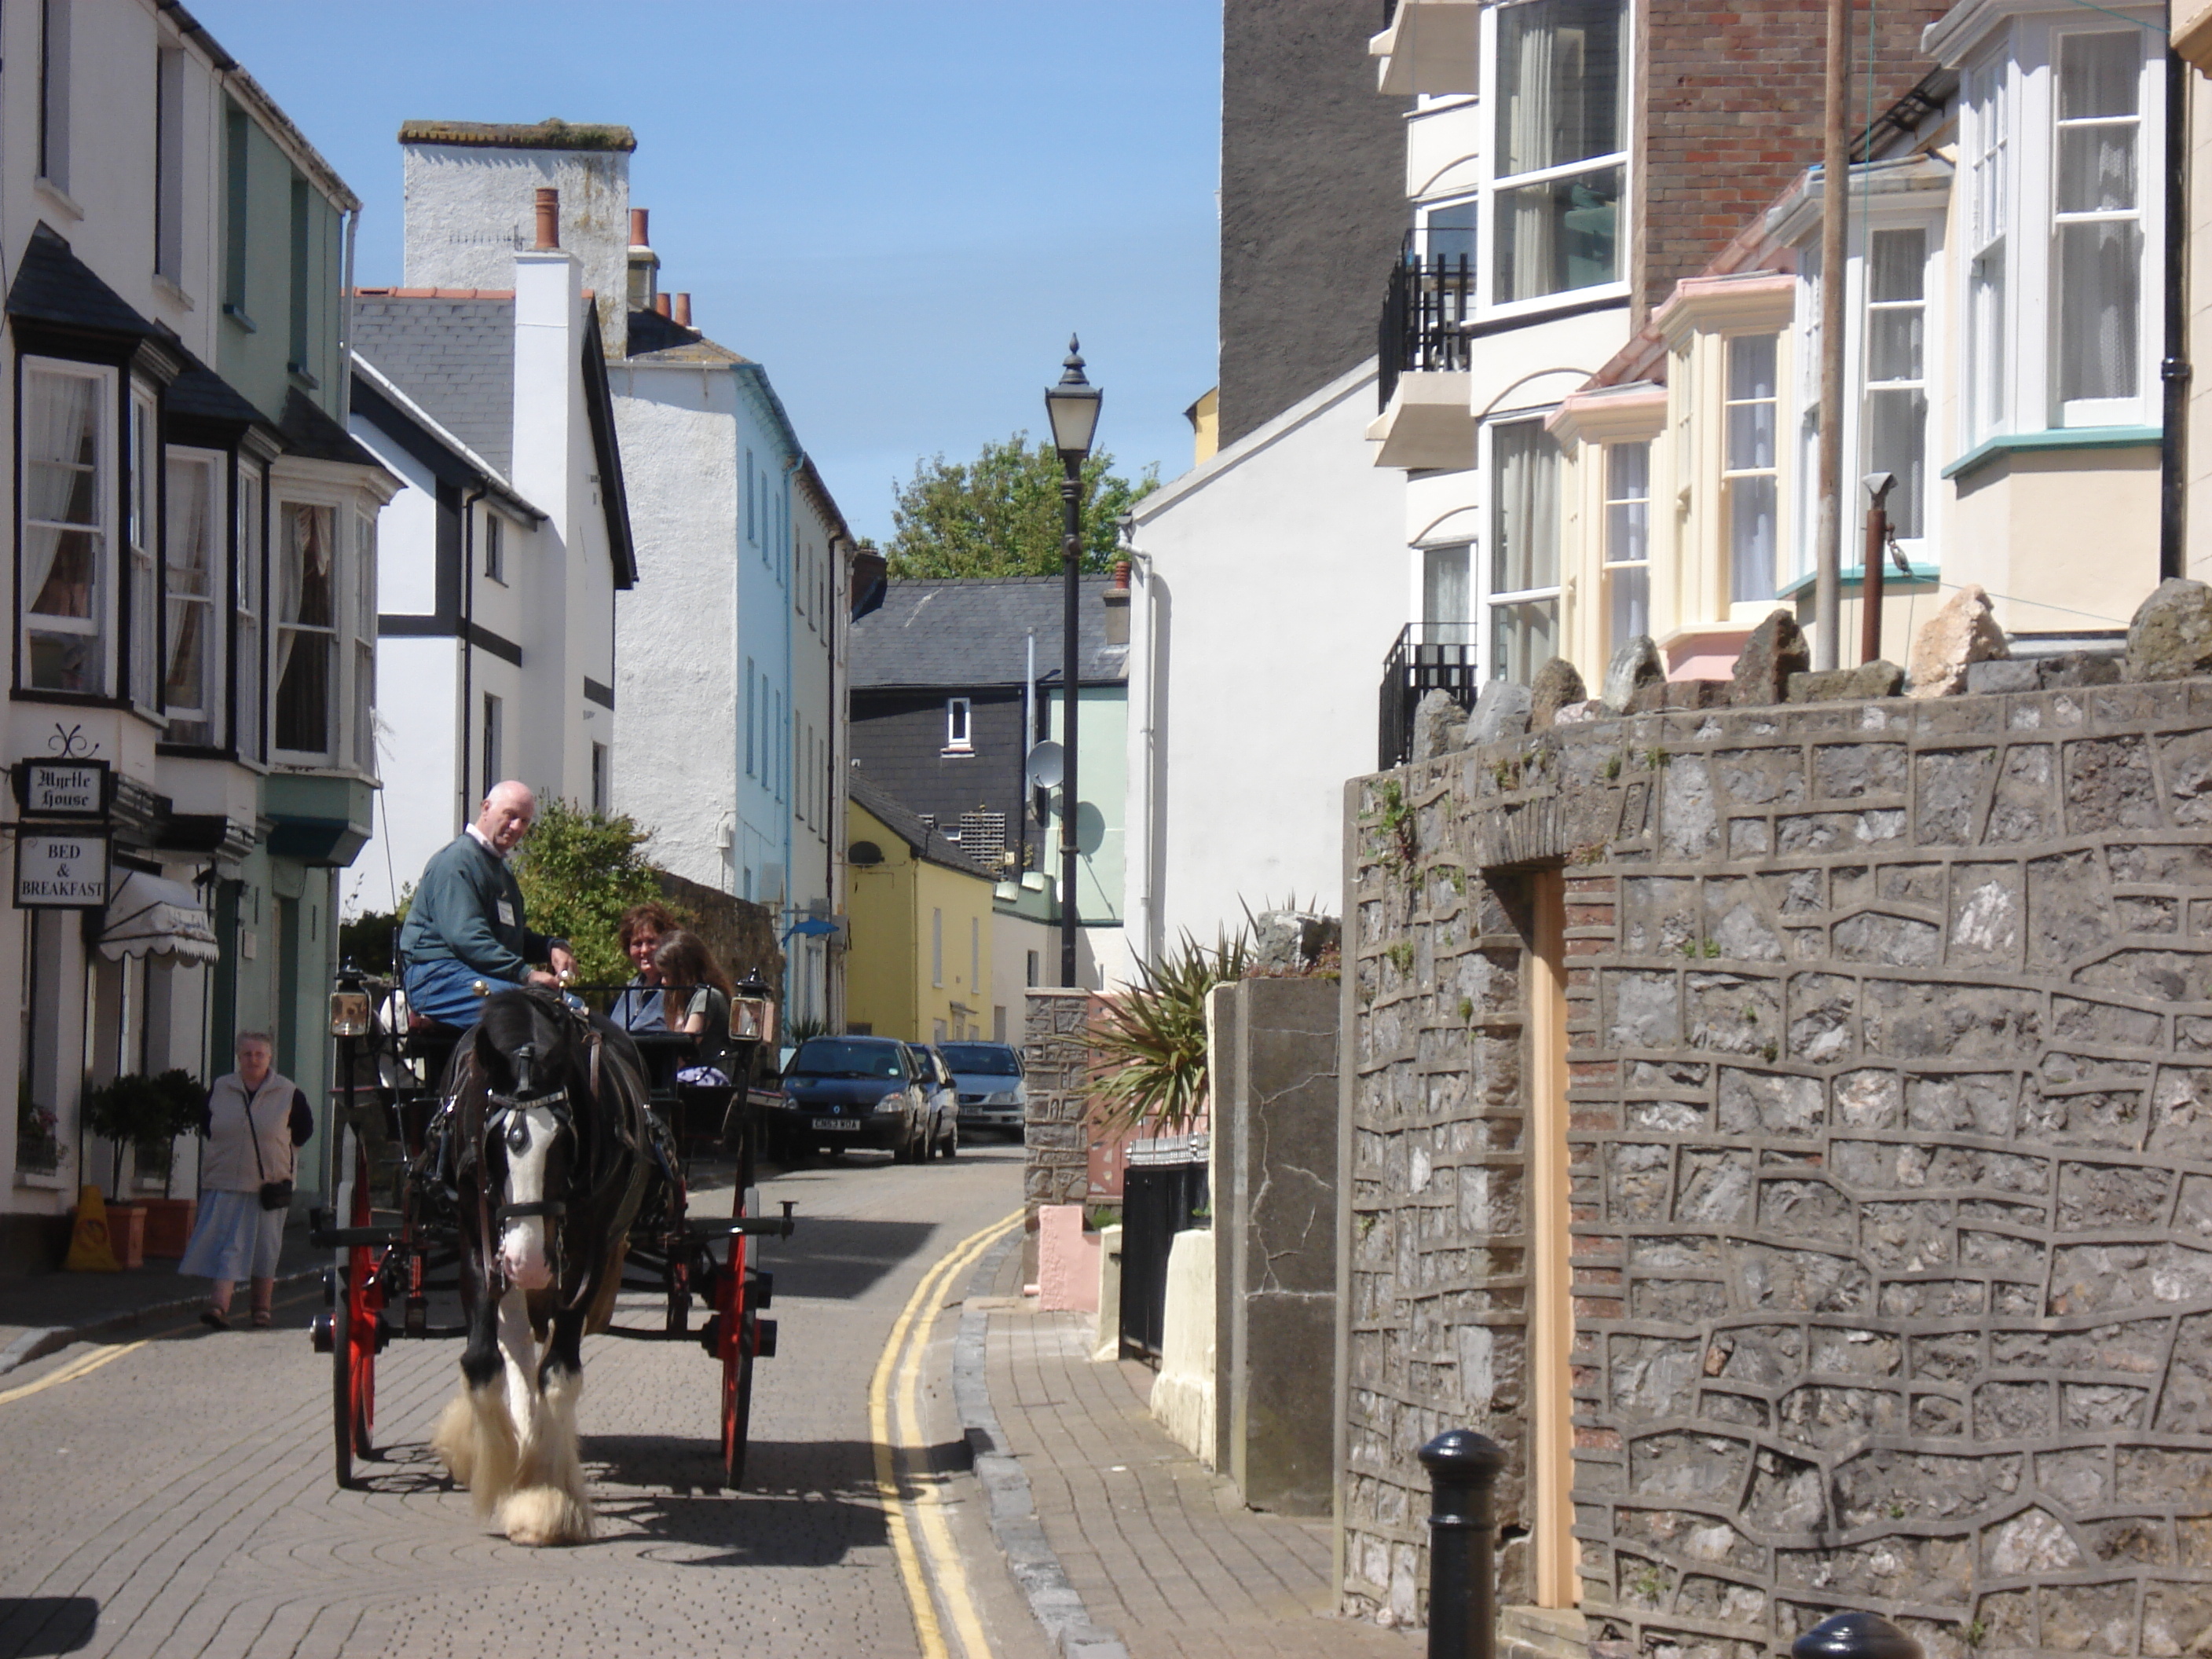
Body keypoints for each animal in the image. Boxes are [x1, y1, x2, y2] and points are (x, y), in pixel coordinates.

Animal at [424, 986, 654, 1548]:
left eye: (565, 1143)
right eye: (490, 1143)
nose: (526, 1261)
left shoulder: (586, 1254)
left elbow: (559, 1374)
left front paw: (545, 1498)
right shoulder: (478, 1240)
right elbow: (483, 1363)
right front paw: (498, 1464)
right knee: (517, 1347)